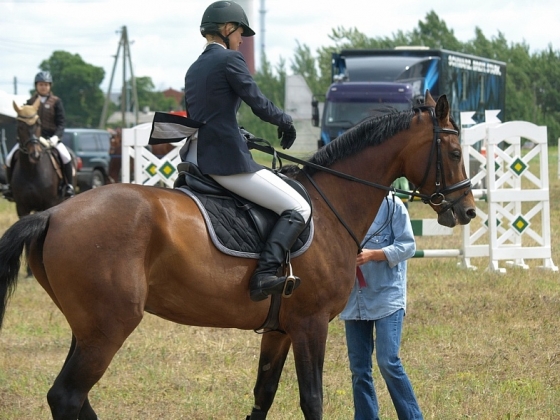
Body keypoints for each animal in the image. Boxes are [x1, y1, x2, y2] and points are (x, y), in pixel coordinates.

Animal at [0, 92, 476, 420]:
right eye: (454, 153)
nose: (467, 210)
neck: (329, 205)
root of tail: (53, 214)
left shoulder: (280, 328)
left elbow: (263, 395)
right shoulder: (311, 325)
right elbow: (313, 400)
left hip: (86, 329)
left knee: (74, 397)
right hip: (108, 327)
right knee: (67, 396)